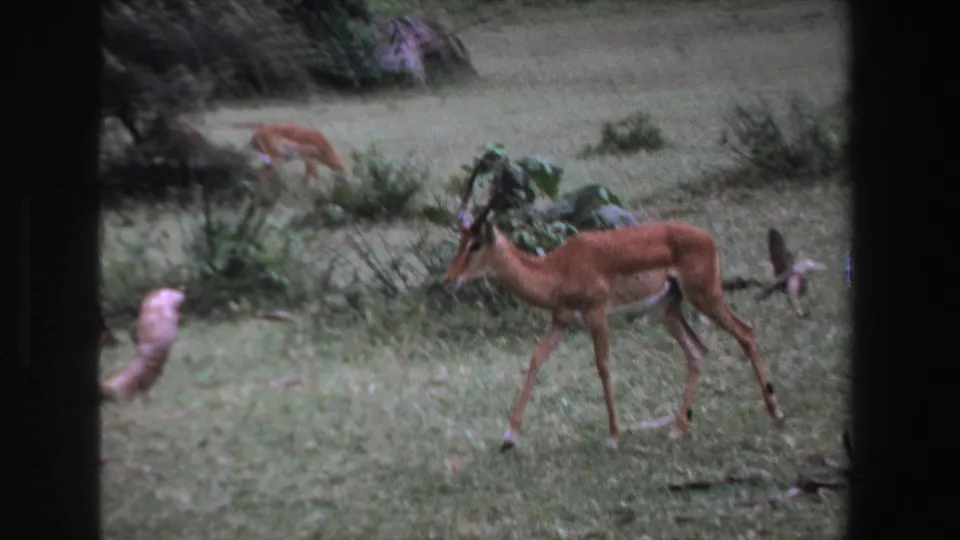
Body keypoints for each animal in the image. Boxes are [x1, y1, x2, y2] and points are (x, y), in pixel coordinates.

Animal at [442, 162, 784, 451]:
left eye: (475, 244)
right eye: (460, 241)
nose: (449, 280)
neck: (557, 270)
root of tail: (708, 238)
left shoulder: (597, 315)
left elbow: (604, 367)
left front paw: (614, 435)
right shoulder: (561, 320)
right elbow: (536, 359)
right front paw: (508, 437)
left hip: (707, 297)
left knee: (746, 332)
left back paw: (775, 412)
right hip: (667, 310)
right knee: (698, 351)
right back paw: (678, 429)